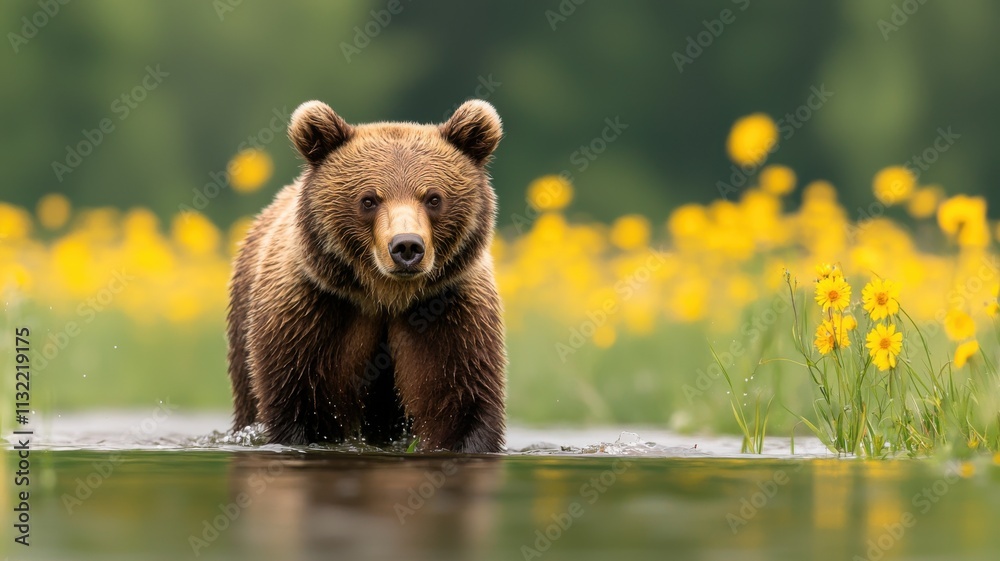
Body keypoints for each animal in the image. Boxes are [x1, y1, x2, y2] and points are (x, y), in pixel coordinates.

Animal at [226, 99, 507, 453]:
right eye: (369, 199)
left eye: (433, 198)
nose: (406, 246)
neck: (387, 296)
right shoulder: (312, 312)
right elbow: (298, 400)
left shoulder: (448, 311)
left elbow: (459, 397)